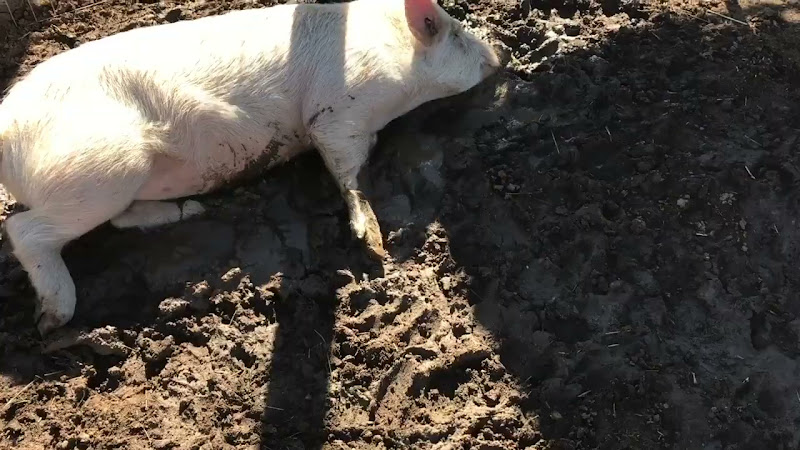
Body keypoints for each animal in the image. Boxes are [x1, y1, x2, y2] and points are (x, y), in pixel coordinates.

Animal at [0, 0, 501, 335]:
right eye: (457, 36)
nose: (501, 56)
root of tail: (8, 134)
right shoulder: (337, 111)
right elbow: (346, 169)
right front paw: (374, 243)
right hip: (101, 166)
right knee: (24, 230)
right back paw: (52, 321)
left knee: (120, 219)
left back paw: (194, 211)